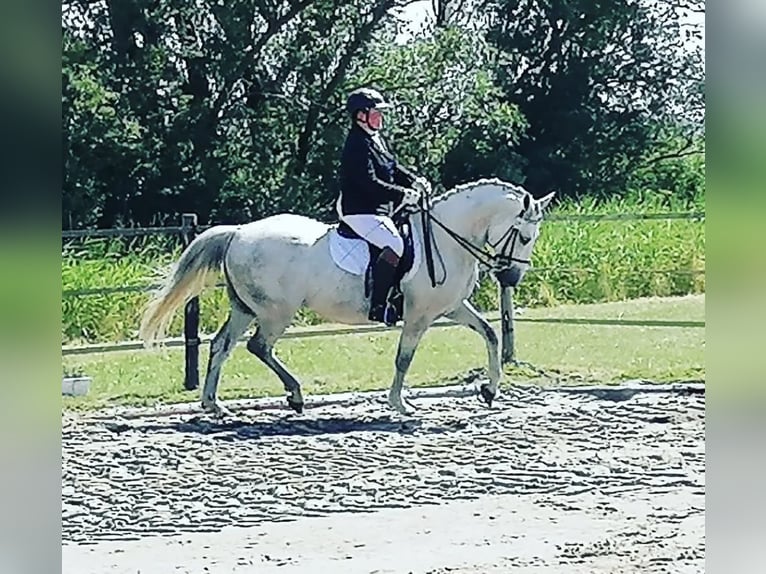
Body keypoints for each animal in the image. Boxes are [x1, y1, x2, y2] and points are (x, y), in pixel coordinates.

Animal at [141, 178, 556, 416]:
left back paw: (215, 404)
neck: (444, 238)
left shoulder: (451, 308)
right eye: (523, 235)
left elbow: (490, 333)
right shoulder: (419, 316)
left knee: (222, 345)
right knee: (258, 346)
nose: (511, 277)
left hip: (246, 307)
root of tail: (239, 232)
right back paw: (294, 396)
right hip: (275, 312)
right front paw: (400, 404)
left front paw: (489, 390)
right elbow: (404, 358)